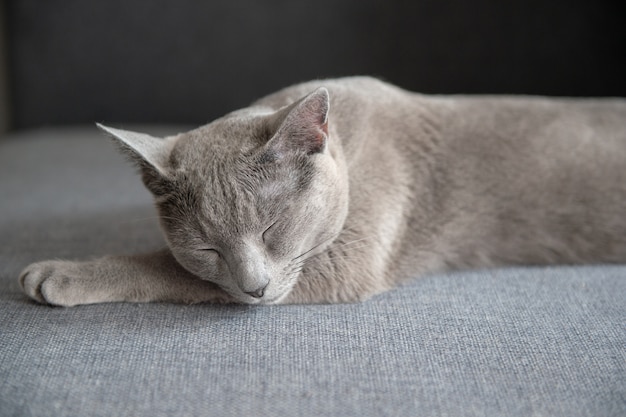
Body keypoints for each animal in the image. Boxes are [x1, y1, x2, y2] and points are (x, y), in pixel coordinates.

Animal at [18, 77, 624, 306]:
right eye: (207, 247)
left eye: (273, 229)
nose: (256, 288)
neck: (349, 145)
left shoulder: (343, 260)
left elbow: (165, 268)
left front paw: (61, 274)